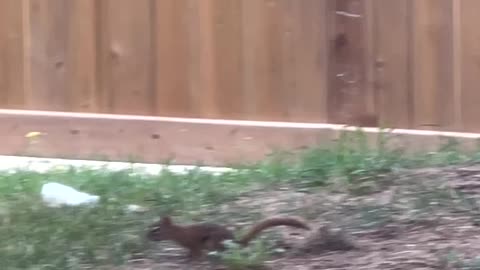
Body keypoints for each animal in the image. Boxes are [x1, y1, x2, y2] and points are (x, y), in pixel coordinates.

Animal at [146, 215, 312, 258]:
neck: (176, 232)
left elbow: (196, 252)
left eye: (156, 230)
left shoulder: (193, 242)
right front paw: (186, 257)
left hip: (213, 242)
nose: (147, 237)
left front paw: (192, 259)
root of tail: (235, 242)